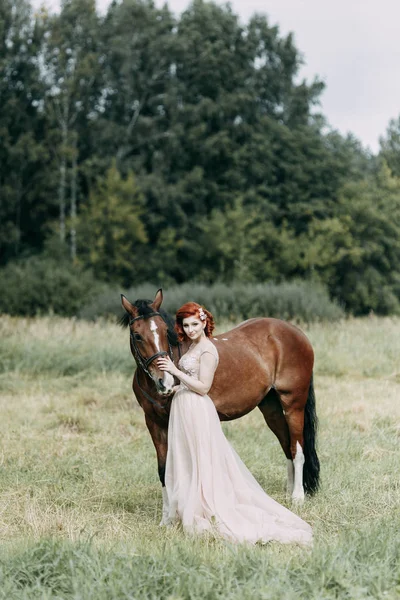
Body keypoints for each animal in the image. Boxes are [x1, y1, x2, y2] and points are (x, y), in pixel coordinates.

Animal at [120, 288, 320, 524]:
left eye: (163, 330)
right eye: (137, 335)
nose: (165, 382)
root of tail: (296, 333)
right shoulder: (153, 423)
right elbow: (163, 470)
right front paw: (167, 520)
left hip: (293, 404)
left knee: (297, 448)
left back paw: (297, 497)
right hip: (270, 408)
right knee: (286, 444)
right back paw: (288, 495)